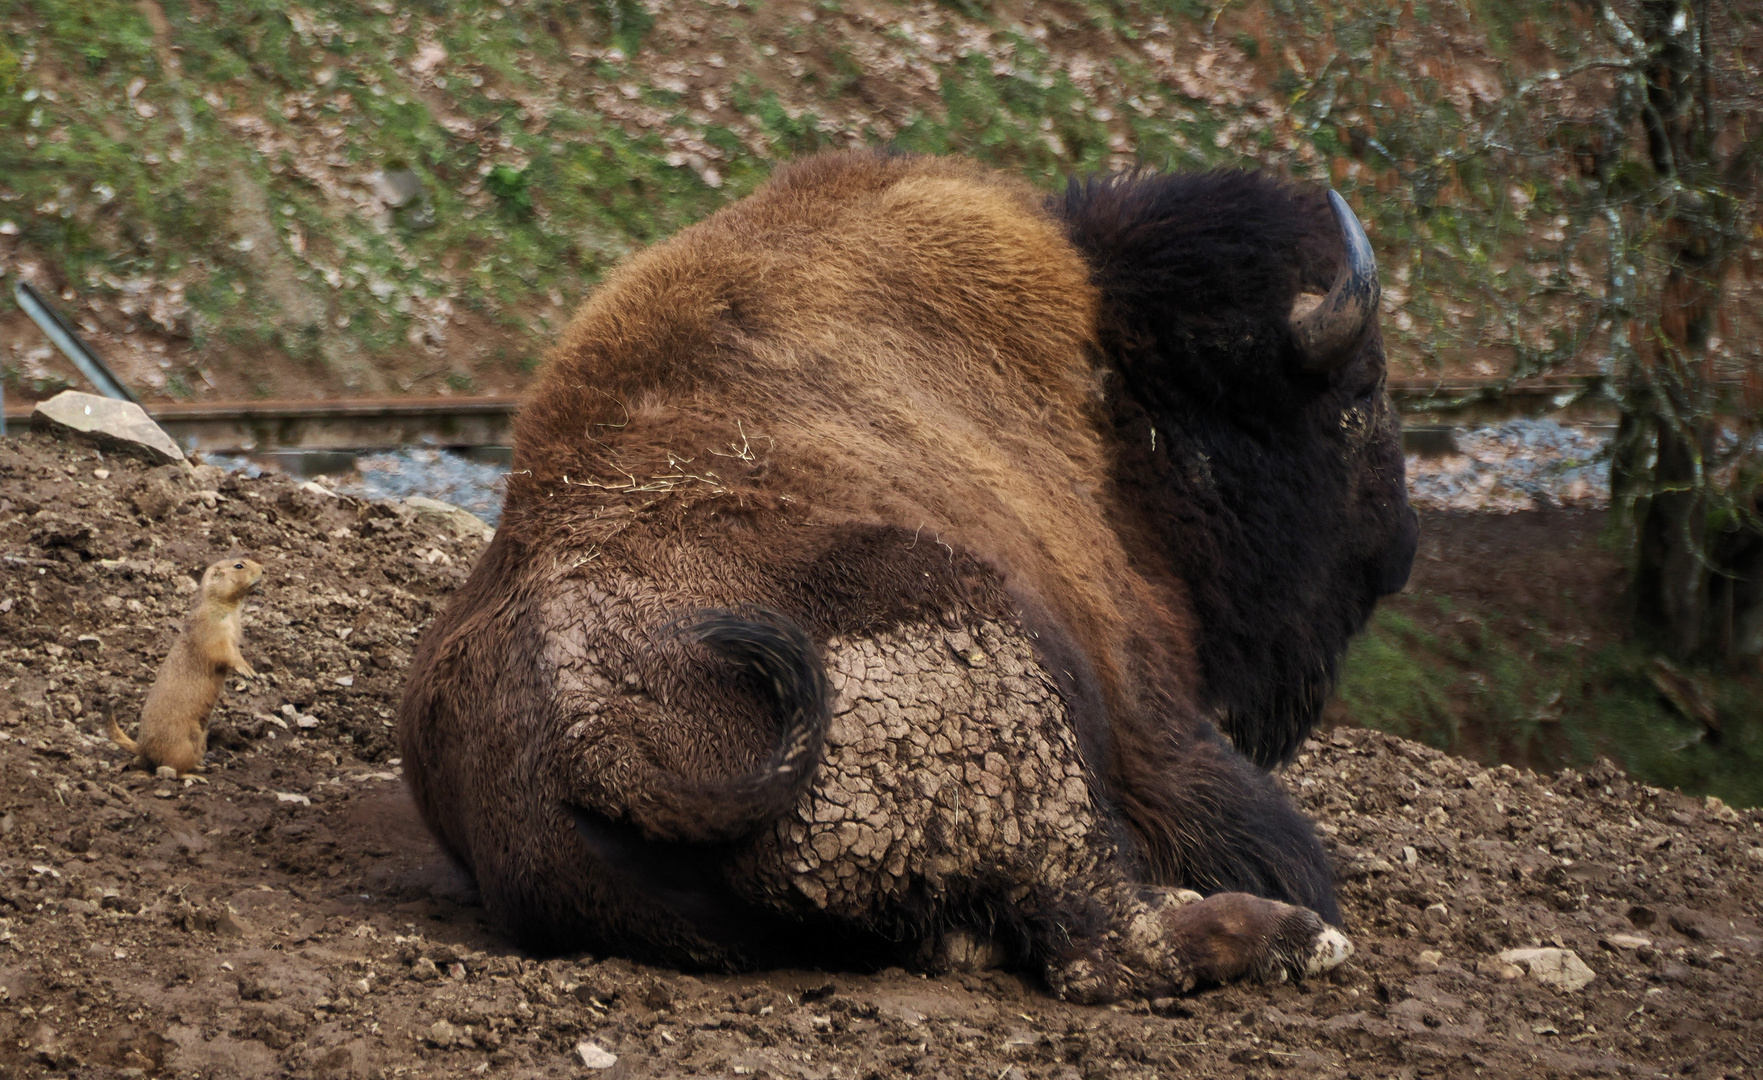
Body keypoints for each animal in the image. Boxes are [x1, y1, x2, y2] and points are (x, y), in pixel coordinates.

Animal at [400, 151, 1417, 1000]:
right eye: (1361, 393)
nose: (1400, 552)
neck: (1112, 389)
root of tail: (595, 743)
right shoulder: (1154, 714)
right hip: (1003, 681)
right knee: (1104, 941)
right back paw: (1298, 937)